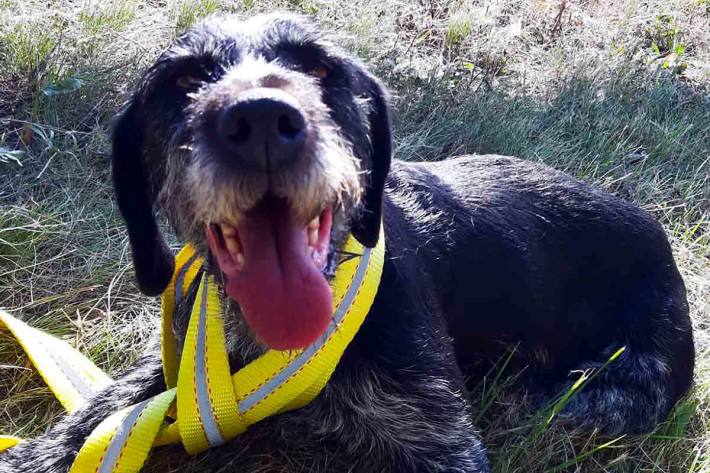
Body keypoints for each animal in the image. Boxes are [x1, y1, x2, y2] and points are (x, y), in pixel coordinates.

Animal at [0, 12, 692, 470]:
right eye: (183, 78)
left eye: (318, 66)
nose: (260, 119)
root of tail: (652, 224)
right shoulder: (174, 370)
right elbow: (104, 410)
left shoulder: (440, 441)